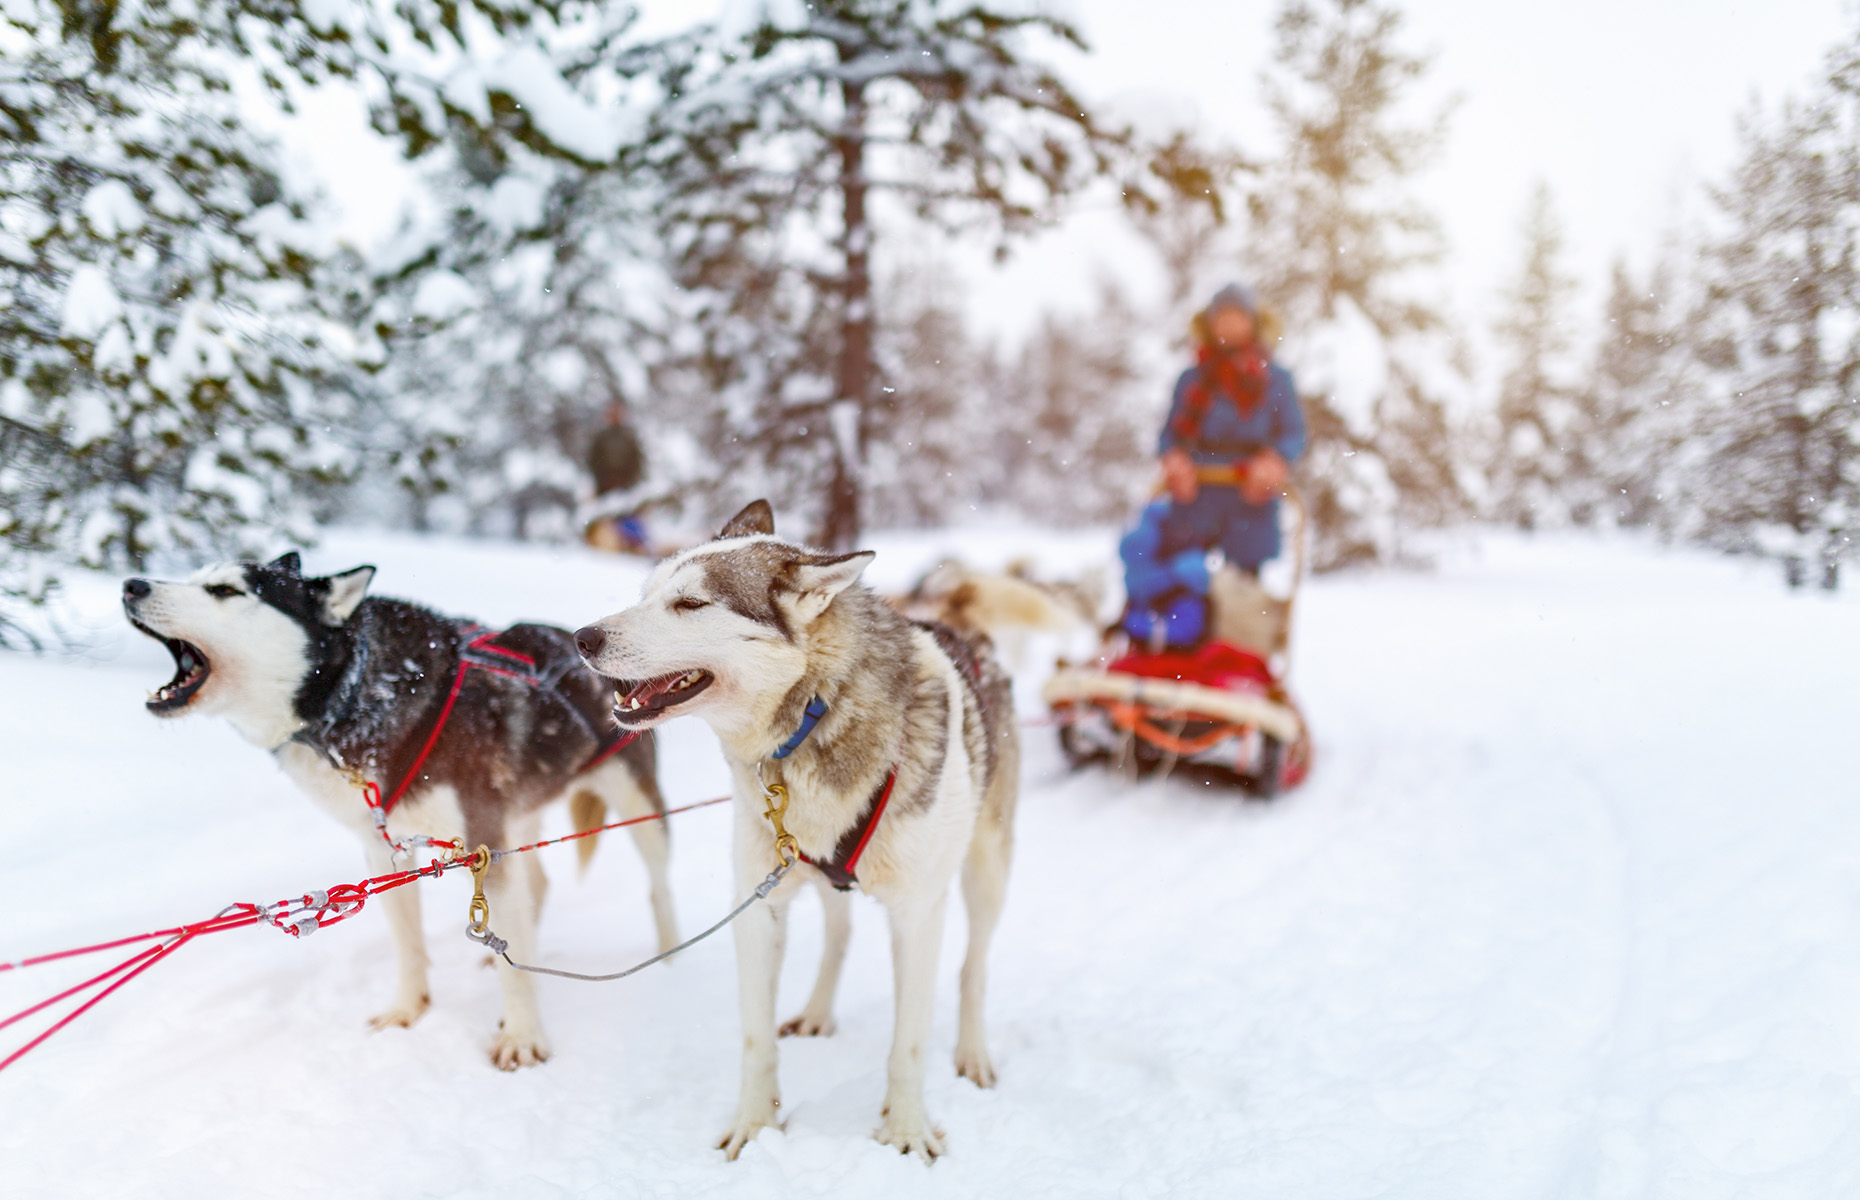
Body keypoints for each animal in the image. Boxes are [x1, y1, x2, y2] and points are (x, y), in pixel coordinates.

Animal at [123, 550, 680, 1064]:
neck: (356, 693)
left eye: (225, 591)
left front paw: (522, 1037)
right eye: (195, 577)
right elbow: (408, 944)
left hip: (638, 808)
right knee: (536, 888)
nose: (131, 585)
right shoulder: (384, 849)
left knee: (656, 887)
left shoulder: (481, 843)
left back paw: (669, 960)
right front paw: (408, 1011)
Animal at [576, 498, 1026, 1160]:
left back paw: (972, 1053)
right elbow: (756, 1039)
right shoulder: (757, 906)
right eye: (646, 593)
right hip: (815, 876)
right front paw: (755, 1127)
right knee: (839, 933)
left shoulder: (919, 913)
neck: (815, 714)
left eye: (691, 603)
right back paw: (816, 1012)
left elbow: (910, 1043)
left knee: (973, 970)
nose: (582, 637)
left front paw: (906, 1130)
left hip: (986, 872)